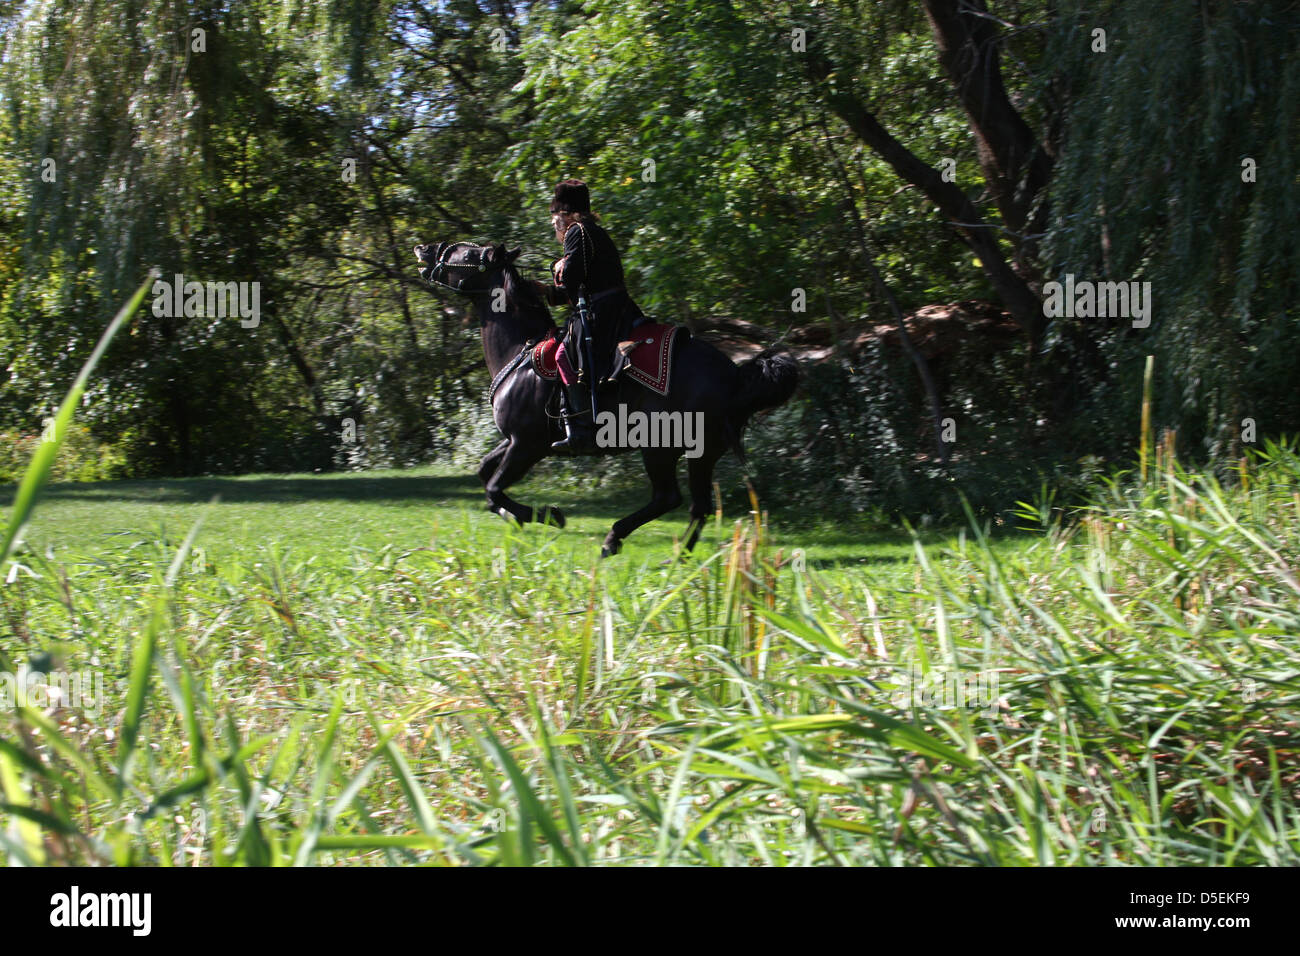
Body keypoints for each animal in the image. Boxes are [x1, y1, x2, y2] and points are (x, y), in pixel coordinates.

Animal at [410, 240, 795, 561]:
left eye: (463, 252)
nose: (423, 249)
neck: (520, 352)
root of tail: (733, 376)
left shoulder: (527, 445)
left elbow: (493, 488)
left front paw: (549, 515)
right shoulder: (516, 442)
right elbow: (484, 474)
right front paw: (524, 516)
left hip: (661, 447)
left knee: (668, 497)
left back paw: (615, 538)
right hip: (702, 452)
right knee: (698, 505)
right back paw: (677, 559)